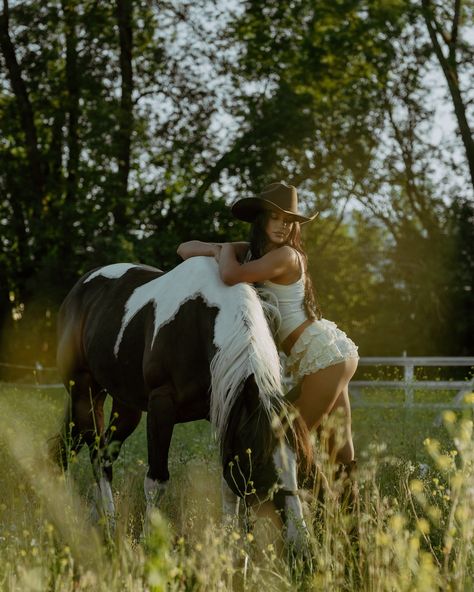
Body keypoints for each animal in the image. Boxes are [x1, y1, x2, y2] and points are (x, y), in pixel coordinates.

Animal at [51, 256, 314, 552]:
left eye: (299, 458)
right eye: (258, 460)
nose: (299, 544)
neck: (198, 323)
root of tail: (78, 290)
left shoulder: (226, 410)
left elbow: (227, 484)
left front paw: (230, 545)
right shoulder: (161, 407)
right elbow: (156, 480)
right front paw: (148, 543)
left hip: (125, 405)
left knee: (96, 454)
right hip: (85, 392)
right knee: (91, 455)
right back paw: (106, 524)